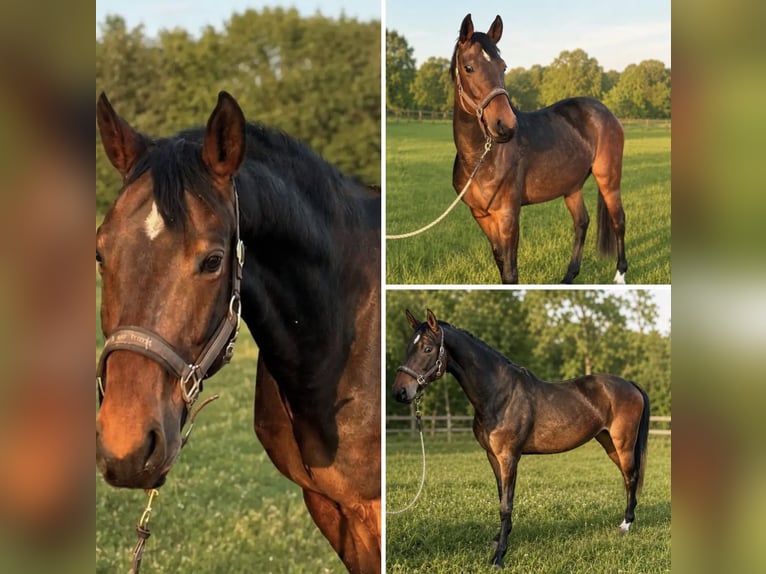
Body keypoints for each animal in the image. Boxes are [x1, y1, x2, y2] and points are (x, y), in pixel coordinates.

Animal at [393, 309, 649, 568]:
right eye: (408, 346)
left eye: (427, 348)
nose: (400, 392)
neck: (499, 394)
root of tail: (630, 384)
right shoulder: (493, 456)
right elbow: (501, 497)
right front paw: (499, 539)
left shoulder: (509, 457)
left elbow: (506, 505)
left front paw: (499, 556)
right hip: (608, 443)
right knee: (627, 477)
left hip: (623, 443)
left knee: (631, 476)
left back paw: (626, 525)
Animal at [451, 14, 627, 284]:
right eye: (469, 67)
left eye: (503, 66)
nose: (505, 125)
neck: (481, 159)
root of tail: (605, 112)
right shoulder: (480, 215)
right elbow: (500, 262)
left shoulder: (508, 215)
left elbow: (510, 271)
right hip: (572, 185)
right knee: (582, 222)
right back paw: (569, 276)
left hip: (609, 178)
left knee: (618, 220)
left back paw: (620, 276)